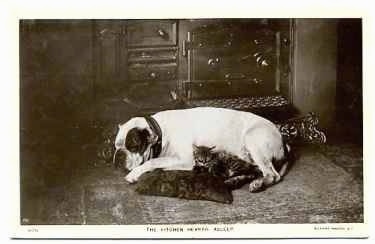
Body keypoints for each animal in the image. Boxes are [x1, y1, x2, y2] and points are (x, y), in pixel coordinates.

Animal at [114, 107, 288, 193]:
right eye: (116, 146)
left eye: (133, 146)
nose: (118, 157)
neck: (161, 131)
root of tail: (283, 140)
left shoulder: (185, 159)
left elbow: (152, 162)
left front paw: (134, 174)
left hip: (253, 140)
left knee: (272, 175)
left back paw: (258, 184)